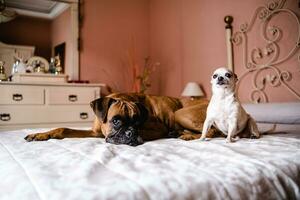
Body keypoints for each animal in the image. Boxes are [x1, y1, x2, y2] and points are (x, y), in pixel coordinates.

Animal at [24, 93, 216, 146]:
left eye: (138, 122)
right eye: (115, 121)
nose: (131, 132)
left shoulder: (158, 128)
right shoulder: (95, 133)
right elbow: (64, 129)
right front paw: (41, 134)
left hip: (180, 114)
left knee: (213, 131)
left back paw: (187, 135)